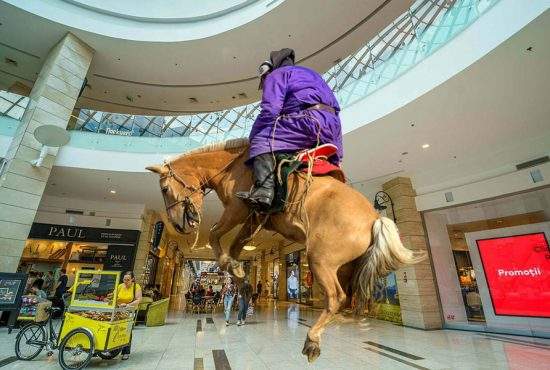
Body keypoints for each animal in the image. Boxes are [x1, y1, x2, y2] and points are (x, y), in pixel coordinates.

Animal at [146, 138, 422, 362]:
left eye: (164, 189)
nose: (179, 225)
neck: (236, 167)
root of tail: (375, 218)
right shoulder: (253, 219)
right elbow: (234, 248)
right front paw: (241, 279)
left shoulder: (238, 210)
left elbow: (215, 234)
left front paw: (234, 270)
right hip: (345, 266)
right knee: (351, 298)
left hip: (319, 259)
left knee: (337, 297)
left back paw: (312, 341)